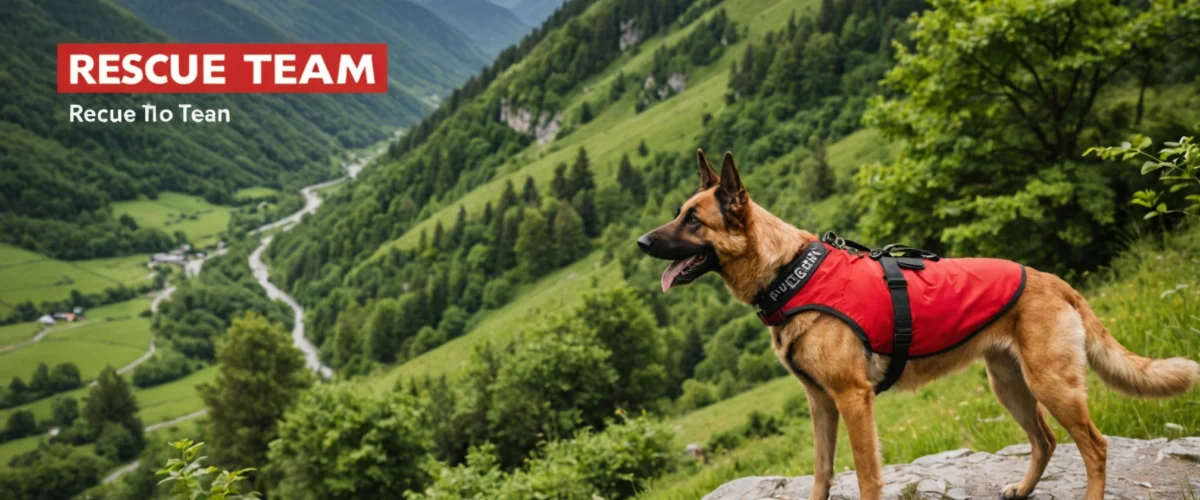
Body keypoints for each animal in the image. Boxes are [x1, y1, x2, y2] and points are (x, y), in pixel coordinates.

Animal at [638, 149, 1200, 498]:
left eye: (693, 220)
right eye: (680, 212)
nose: (641, 242)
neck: (788, 271)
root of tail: (1054, 280)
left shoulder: (853, 400)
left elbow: (866, 475)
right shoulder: (821, 404)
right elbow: (821, 472)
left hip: (1052, 384)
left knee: (1095, 446)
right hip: (1009, 386)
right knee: (1045, 441)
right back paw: (1022, 489)